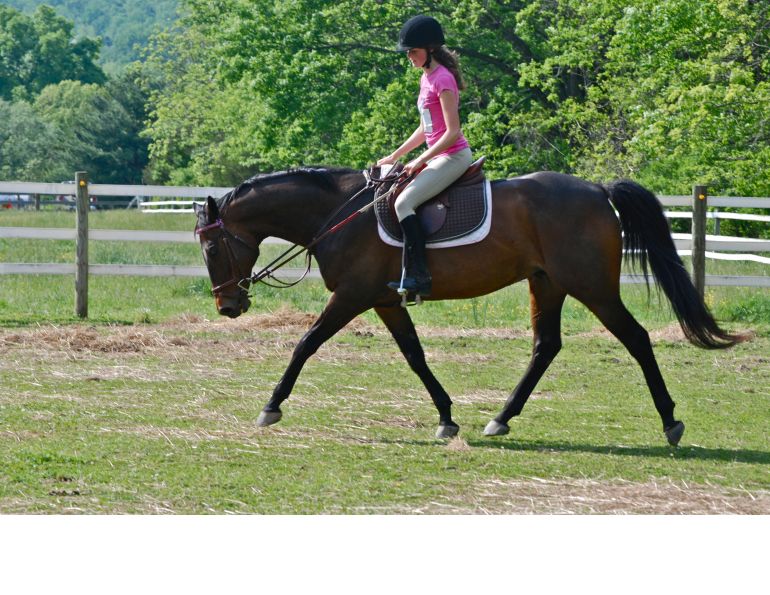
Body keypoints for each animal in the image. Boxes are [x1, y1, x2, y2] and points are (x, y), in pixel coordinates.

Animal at [194, 166, 743, 446]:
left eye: (212, 249)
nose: (228, 306)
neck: (337, 214)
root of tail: (595, 189)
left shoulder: (351, 296)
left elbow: (305, 344)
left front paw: (271, 406)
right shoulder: (383, 300)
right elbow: (415, 356)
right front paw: (446, 417)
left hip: (592, 287)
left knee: (636, 338)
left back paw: (670, 422)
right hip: (546, 284)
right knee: (546, 346)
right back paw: (501, 418)